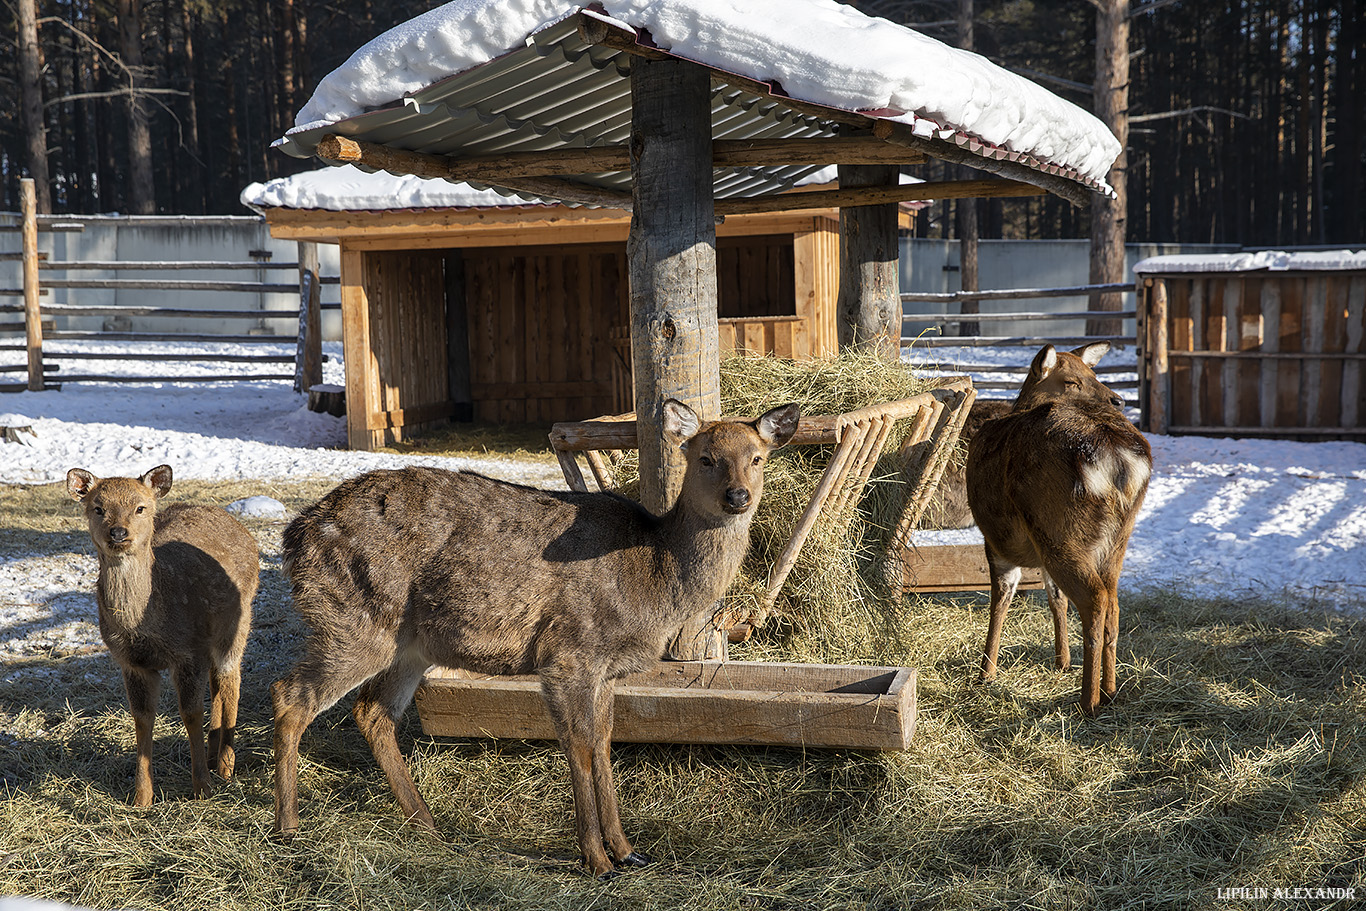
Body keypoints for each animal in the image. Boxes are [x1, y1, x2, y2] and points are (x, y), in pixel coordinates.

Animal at [65, 464, 258, 803]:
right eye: (98, 508)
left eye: (140, 508)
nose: (118, 532)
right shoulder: (131, 661)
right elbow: (142, 718)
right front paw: (142, 797)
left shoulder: (188, 651)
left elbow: (191, 713)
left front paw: (202, 788)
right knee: (217, 682)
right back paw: (213, 755)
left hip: (238, 623)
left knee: (231, 679)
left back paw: (225, 766)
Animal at [270, 396, 797, 874]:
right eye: (705, 457)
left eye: (757, 457)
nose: (737, 496)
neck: (654, 576)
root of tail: (294, 537)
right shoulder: (568, 653)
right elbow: (578, 747)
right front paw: (596, 859)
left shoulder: (608, 671)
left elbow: (604, 744)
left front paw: (628, 851)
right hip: (354, 621)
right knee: (290, 695)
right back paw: (288, 827)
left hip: (408, 645)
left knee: (372, 712)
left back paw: (428, 825)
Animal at [961, 345, 1152, 715]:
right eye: (1072, 381)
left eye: (1093, 374)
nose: (1118, 400)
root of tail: (1119, 459)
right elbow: (1055, 597)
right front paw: (1061, 660)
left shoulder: (995, 540)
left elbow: (1000, 600)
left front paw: (984, 673)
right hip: (1112, 538)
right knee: (1113, 601)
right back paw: (1110, 690)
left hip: (1059, 528)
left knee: (1095, 598)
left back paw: (1088, 701)